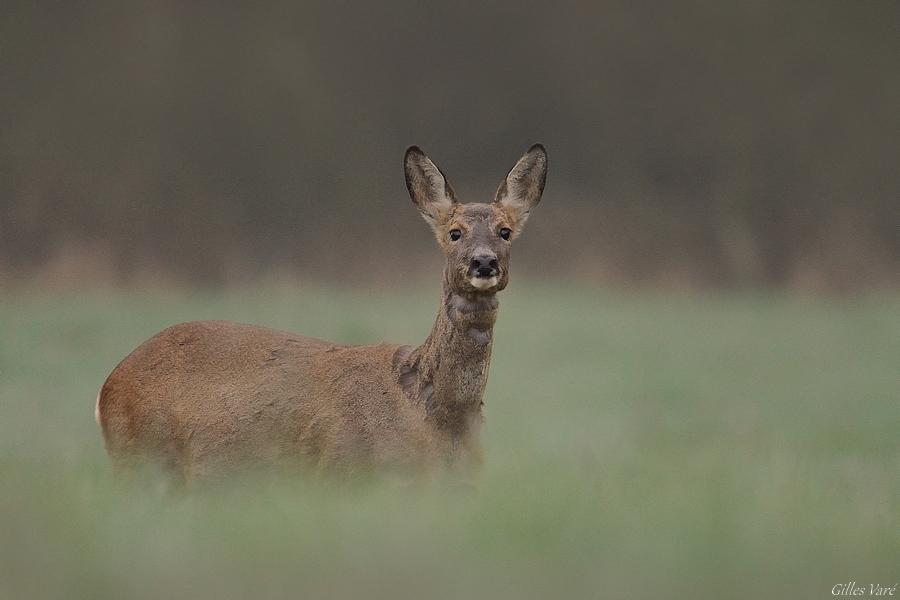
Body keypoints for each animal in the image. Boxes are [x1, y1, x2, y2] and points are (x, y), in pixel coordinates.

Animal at [98, 144, 548, 482]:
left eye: (505, 231)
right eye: (454, 233)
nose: (484, 262)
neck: (438, 418)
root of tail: (107, 388)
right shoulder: (344, 469)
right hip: (141, 458)